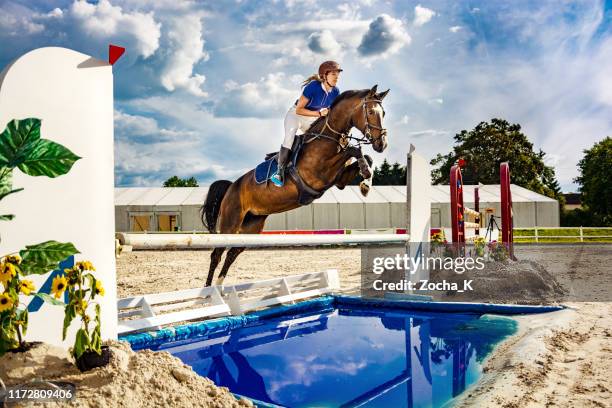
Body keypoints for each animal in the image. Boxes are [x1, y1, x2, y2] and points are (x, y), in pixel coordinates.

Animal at [203, 84, 390, 286]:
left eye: (383, 113)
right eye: (370, 112)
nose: (382, 144)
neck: (329, 137)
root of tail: (231, 187)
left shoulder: (339, 180)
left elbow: (364, 156)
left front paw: (366, 182)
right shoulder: (317, 173)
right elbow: (354, 150)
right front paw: (365, 174)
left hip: (252, 225)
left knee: (232, 253)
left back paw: (220, 286)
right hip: (231, 221)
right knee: (217, 254)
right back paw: (208, 290)